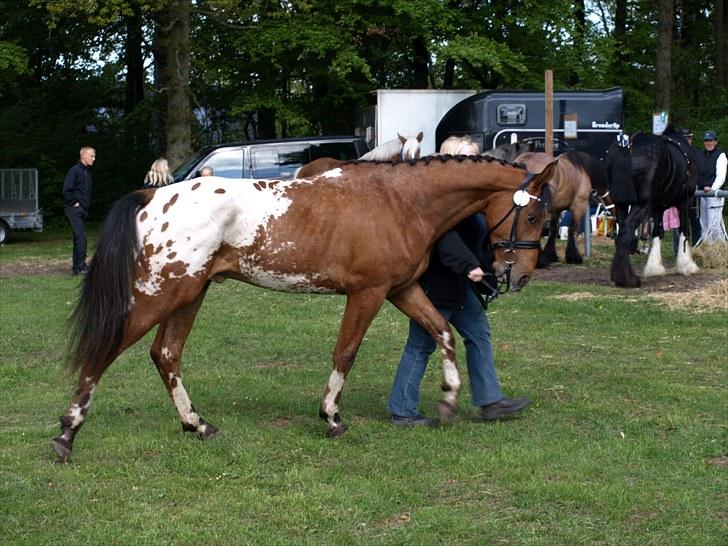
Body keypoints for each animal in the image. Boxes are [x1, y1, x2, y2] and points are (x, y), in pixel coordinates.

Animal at [54, 155, 556, 462]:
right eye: (533, 216)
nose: (520, 275)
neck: (399, 201)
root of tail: (154, 196)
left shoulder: (403, 290)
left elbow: (443, 332)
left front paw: (450, 400)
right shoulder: (368, 293)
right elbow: (345, 353)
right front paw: (331, 417)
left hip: (190, 295)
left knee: (166, 354)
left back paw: (197, 425)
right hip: (164, 293)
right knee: (107, 349)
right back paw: (66, 434)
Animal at [604, 122, 700, 284]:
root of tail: (627, 145)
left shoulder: (658, 206)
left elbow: (657, 231)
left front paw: (654, 267)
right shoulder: (685, 201)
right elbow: (684, 230)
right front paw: (686, 265)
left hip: (621, 204)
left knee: (621, 232)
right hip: (641, 204)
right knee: (626, 231)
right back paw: (627, 280)